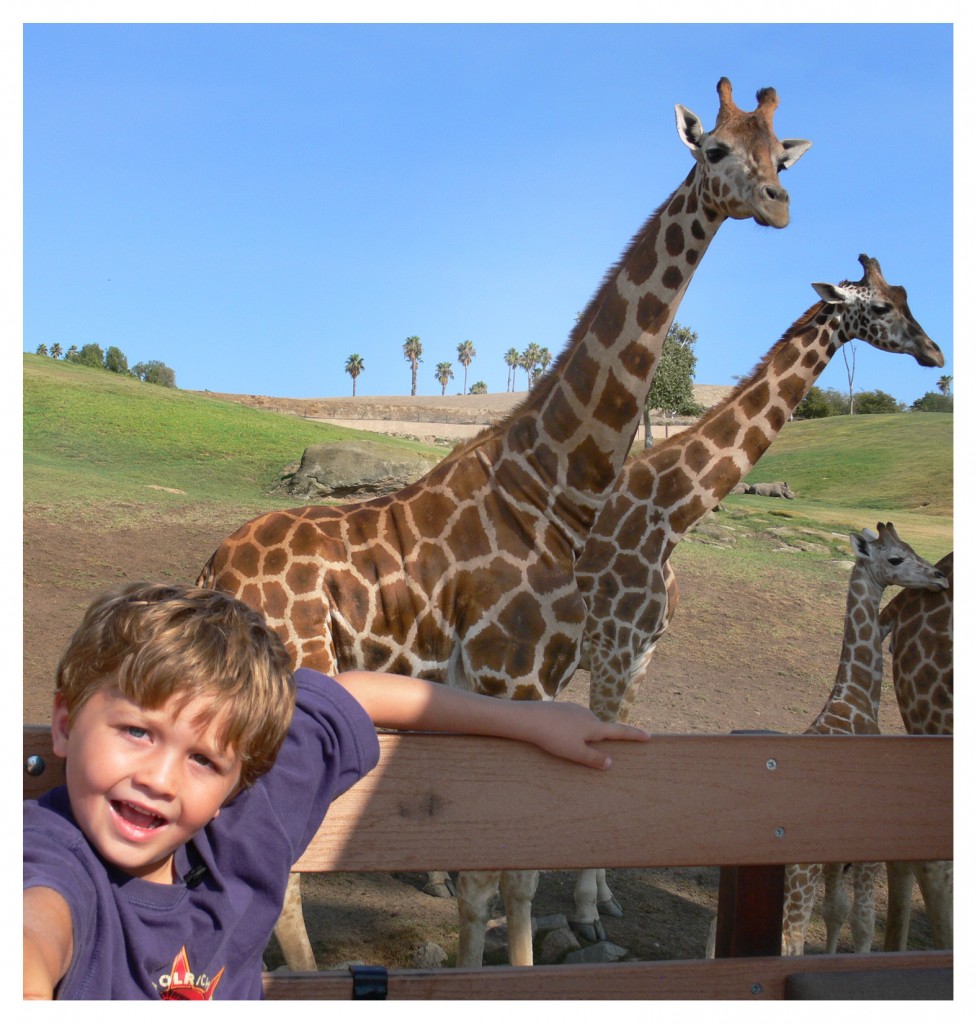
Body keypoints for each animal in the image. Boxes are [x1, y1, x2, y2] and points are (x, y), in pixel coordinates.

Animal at [196, 77, 806, 966]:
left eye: (777, 158)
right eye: (715, 148)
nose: (777, 205)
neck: (551, 482)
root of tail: (211, 569)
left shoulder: (536, 682)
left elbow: (507, 870)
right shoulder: (509, 673)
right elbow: (499, 872)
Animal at [782, 524, 946, 954]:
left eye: (910, 547)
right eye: (895, 558)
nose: (940, 577)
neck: (856, 696)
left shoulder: (836, 858)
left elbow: (836, 909)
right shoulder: (866, 850)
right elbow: (864, 921)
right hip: (797, 878)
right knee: (790, 938)